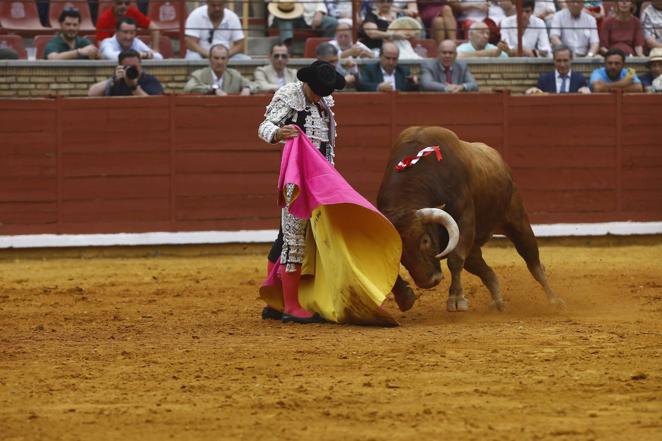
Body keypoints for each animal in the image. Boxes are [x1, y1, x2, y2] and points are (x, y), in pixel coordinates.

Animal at [378, 125, 564, 312]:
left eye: (425, 240)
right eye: (398, 250)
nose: (428, 282)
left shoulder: (464, 219)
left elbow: (455, 260)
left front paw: (456, 299)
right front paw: (405, 298)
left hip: (517, 222)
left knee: (533, 262)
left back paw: (554, 300)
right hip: (474, 245)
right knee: (486, 271)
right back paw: (498, 302)